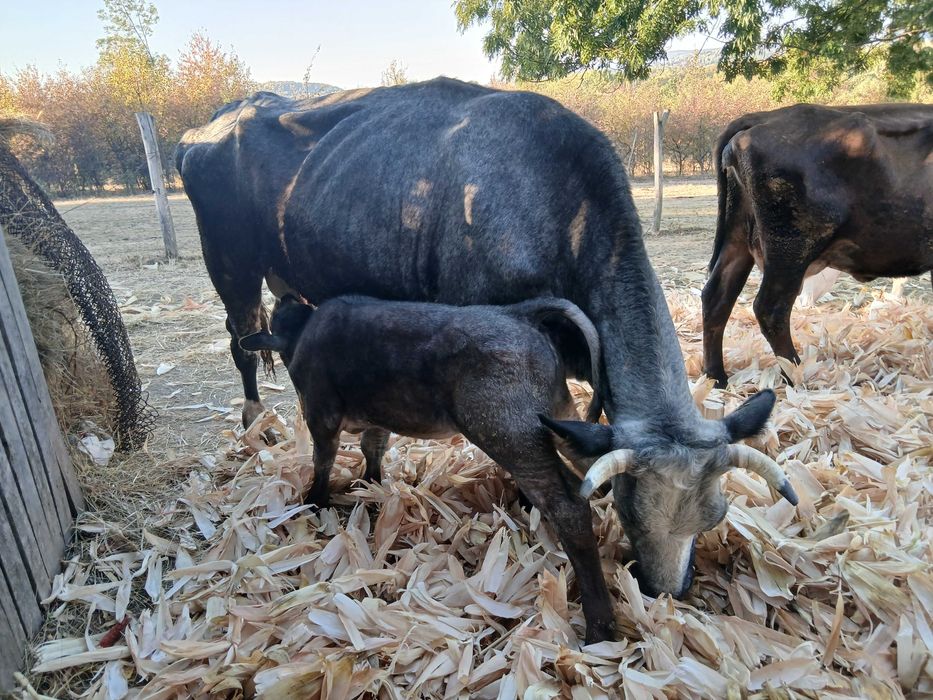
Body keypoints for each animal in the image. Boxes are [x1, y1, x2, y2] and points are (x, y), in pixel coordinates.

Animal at [176, 78, 796, 637]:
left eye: (715, 515)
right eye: (628, 507)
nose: (666, 591)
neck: (558, 201)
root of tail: (215, 119)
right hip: (229, 266)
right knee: (242, 343)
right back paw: (254, 421)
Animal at [702, 103, 933, 387]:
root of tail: (762, 117)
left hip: (738, 239)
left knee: (716, 298)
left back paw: (716, 378)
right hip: (790, 248)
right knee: (770, 308)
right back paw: (796, 374)